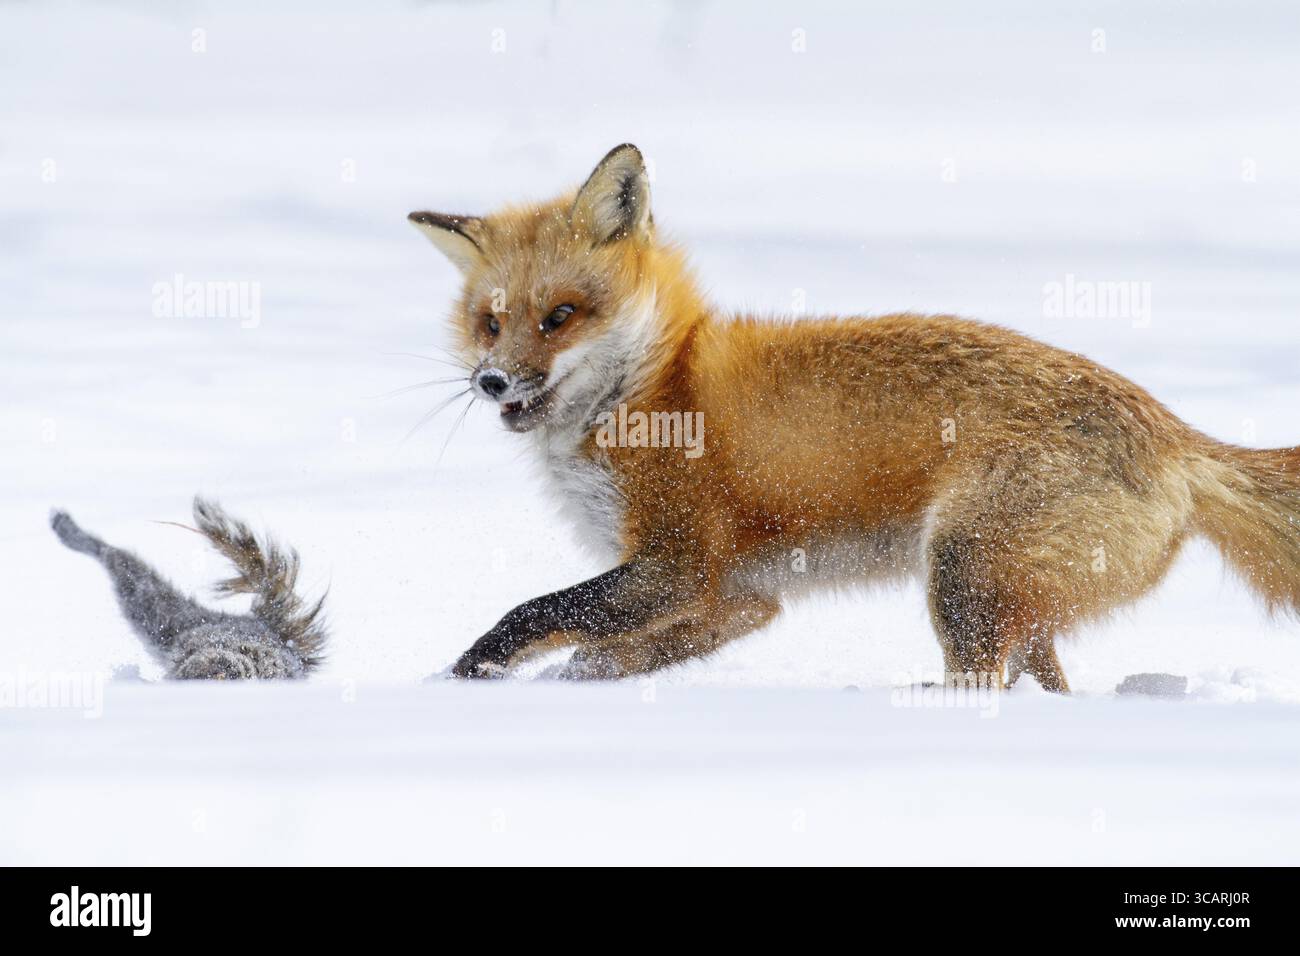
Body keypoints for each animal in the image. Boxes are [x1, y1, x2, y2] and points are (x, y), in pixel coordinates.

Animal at [410, 144, 1300, 691]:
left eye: (560, 316)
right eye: (490, 322)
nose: (491, 381)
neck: (657, 387)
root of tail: (1179, 437)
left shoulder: (678, 564)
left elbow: (534, 613)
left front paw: (456, 683)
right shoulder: (739, 601)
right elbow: (591, 659)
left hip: (962, 576)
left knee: (983, 687)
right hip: (1011, 601)